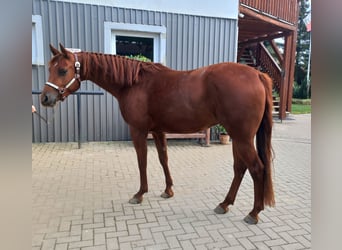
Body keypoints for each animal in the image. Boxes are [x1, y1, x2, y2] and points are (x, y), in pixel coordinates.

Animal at [40, 44, 276, 224]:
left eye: (63, 70)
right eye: (50, 68)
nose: (45, 98)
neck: (134, 83)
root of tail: (256, 74)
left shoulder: (138, 131)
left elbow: (142, 161)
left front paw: (139, 194)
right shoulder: (158, 130)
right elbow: (163, 159)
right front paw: (168, 190)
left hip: (242, 138)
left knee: (257, 168)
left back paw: (253, 213)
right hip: (238, 137)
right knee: (240, 168)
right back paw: (225, 204)